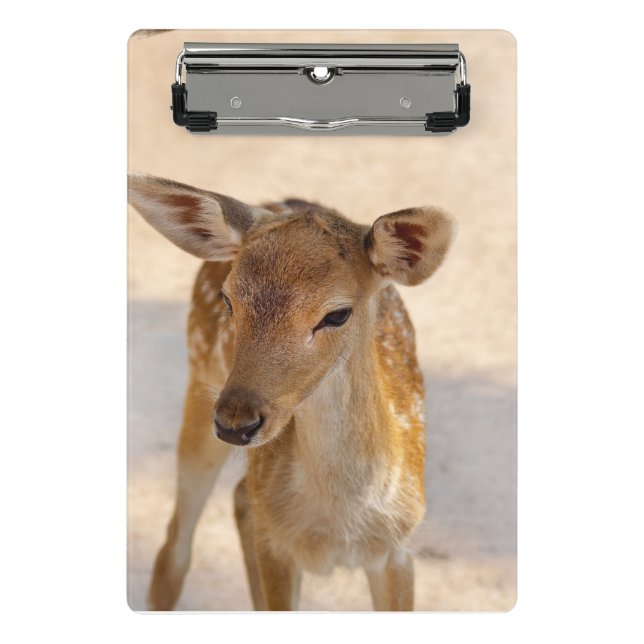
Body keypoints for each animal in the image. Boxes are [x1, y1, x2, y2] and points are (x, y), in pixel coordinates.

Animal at [128, 173, 454, 611]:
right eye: (229, 299)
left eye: (337, 314)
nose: (235, 423)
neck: (337, 526)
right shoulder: (277, 547)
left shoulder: (399, 548)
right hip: (198, 383)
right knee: (175, 546)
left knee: (240, 498)